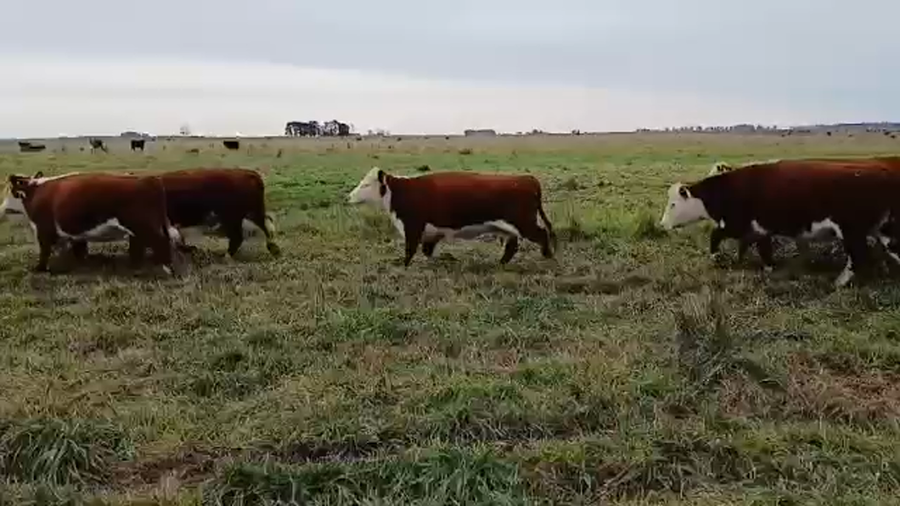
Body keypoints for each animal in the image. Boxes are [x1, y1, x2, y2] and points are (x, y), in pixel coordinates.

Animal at [5, 171, 180, 275]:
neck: (35, 191)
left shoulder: (43, 229)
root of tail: (149, 178)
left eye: (9, 191)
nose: (3, 207)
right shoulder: (74, 234)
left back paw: (166, 269)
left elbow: (44, 251)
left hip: (143, 225)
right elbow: (78, 248)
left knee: (160, 242)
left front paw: (39, 269)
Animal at [347, 167, 557, 266]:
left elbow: (410, 249)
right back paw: (501, 263)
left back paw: (547, 256)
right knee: (512, 246)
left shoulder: (413, 226)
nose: (348, 196)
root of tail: (526, 178)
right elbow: (426, 249)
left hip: (524, 223)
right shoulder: (431, 231)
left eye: (366, 184)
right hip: (510, 227)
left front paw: (404, 265)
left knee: (541, 234)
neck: (402, 192)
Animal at [659, 158, 900, 287]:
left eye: (673, 204)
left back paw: (839, 282)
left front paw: (716, 257)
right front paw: (767, 268)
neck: (729, 190)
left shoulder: (737, 225)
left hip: (852, 232)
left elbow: (715, 236)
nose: (662, 225)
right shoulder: (758, 230)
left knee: (858, 257)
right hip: (883, 231)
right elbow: (763, 249)